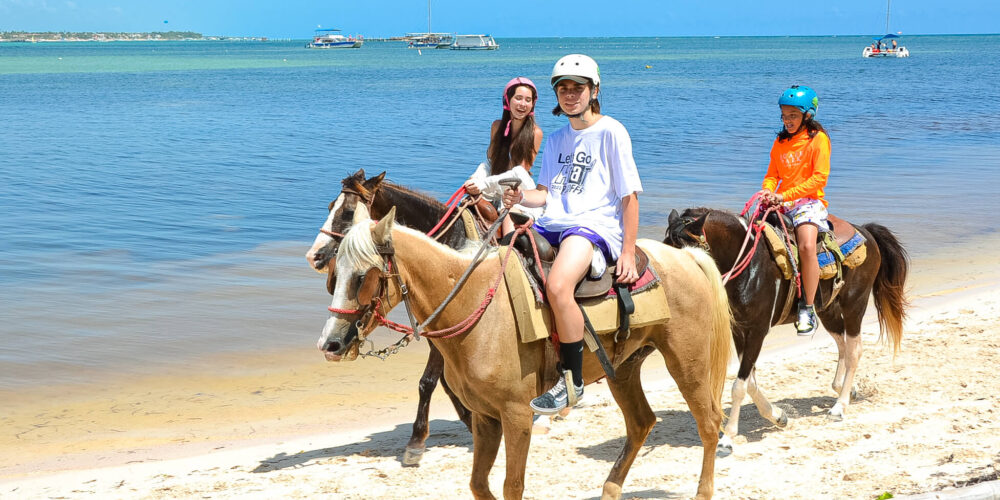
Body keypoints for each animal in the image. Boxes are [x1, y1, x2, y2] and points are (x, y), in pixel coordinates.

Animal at [302, 169, 478, 464]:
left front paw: (416, 441)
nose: (313, 256)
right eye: (330, 206)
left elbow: (428, 381)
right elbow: (445, 381)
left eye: (348, 212)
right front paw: (470, 419)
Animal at [320, 204, 736, 500]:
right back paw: (610, 489)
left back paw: (703, 491)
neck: (475, 305)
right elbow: (479, 485)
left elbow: (512, 486)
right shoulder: (485, 417)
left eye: (363, 276)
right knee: (641, 423)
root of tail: (687, 257)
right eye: (333, 276)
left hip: (688, 365)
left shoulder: (516, 415)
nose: (330, 344)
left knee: (709, 424)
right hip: (624, 369)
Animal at [664, 207, 908, 454]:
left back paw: (840, 407)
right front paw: (778, 416)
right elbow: (750, 382)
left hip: (854, 304)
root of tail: (865, 231)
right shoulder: (739, 331)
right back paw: (845, 389)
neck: (749, 265)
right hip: (828, 309)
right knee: (843, 345)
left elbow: (739, 386)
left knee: (855, 350)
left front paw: (727, 439)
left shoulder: (757, 330)